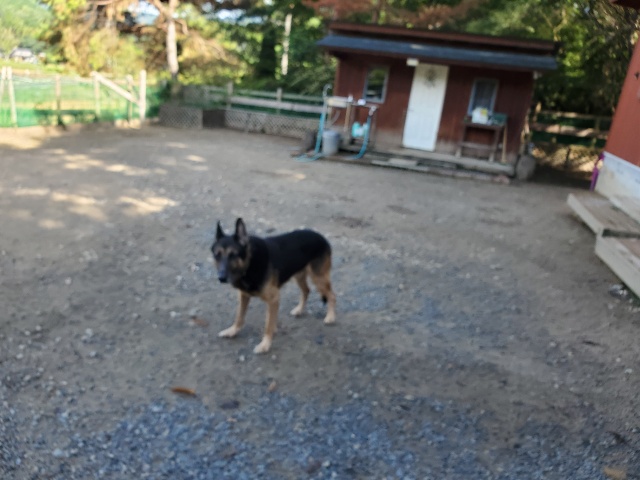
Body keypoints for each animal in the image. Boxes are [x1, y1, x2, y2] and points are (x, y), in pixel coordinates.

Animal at [211, 218, 336, 354]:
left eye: (233, 254)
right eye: (217, 255)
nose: (221, 278)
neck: (249, 264)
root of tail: (321, 237)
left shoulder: (273, 299)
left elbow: (268, 325)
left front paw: (265, 344)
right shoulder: (243, 296)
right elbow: (239, 316)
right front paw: (232, 331)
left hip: (318, 278)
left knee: (332, 295)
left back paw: (330, 317)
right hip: (299, 276)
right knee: (306, 290)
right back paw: (299, 310)